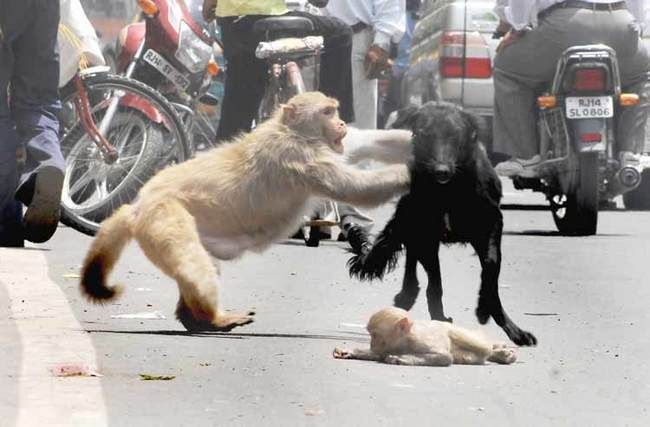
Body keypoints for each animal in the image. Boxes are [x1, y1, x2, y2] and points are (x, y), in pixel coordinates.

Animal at [78, 93, 408, 334]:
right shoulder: (299, 157)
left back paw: (194, 320)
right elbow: (354, 188)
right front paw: (410, 173)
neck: (292, 131)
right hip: (164, 218)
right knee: (194, 265)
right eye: (327, 112)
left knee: (203, 265)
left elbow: (366, 143)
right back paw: (213, 318)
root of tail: (138, 204)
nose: (340, 124)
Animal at [332, 308, 512, 368]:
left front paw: (401, 359)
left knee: (483, 347)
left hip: (458, 330)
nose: (371, 343)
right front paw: (349, 351)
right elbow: (378, 354)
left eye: (375, 335)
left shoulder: (421, 342)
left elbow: (445, 357)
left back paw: (500, 351)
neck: (404, 341)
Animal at [350, 103, 536, 348]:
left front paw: (487, 312)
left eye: (455, 135)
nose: (441, 171)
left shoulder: (491, 224)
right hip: (410, 222)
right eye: (424, 134)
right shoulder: (426, 236)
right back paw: (409, 299)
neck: (448, 191)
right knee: (415, 269)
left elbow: (491, 267)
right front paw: (439, 317)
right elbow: (435, 283)